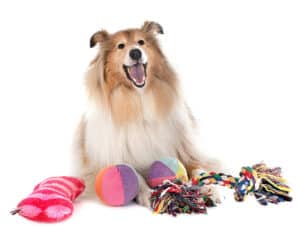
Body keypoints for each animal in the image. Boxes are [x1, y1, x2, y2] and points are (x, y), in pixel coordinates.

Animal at [71, 21, 219, 206]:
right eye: (121, 46)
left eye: (141, 42)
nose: (135, 52)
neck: (139, 100)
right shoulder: (114, 156)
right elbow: (136, 176)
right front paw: (148, 194)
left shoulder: (184, 150)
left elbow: (197, 168)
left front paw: (210, 188)